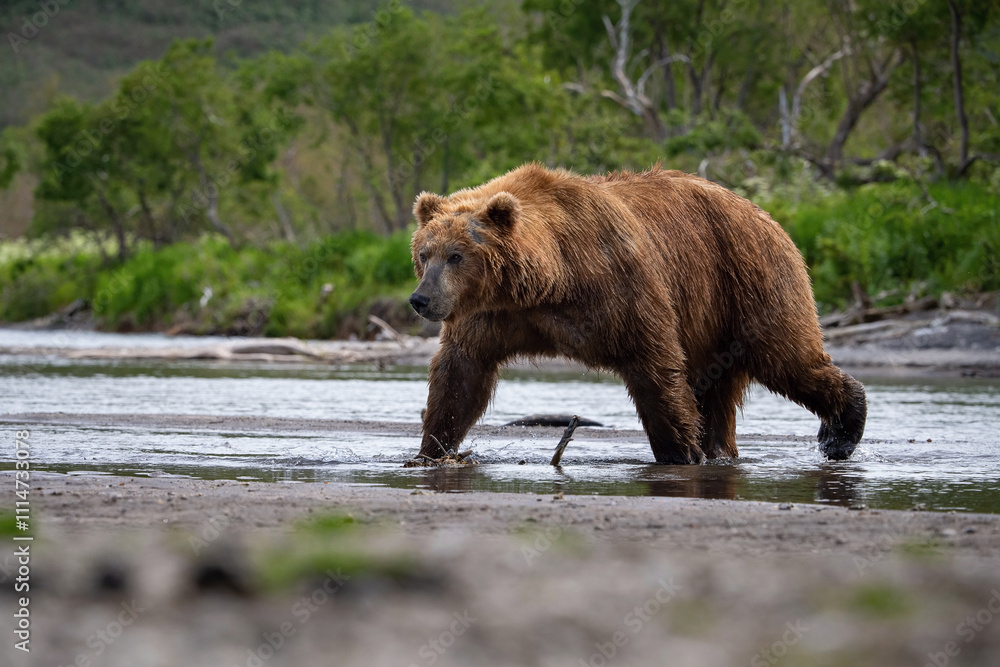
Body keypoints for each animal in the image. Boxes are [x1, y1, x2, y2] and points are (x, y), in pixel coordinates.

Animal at [408, 163, 866, 464]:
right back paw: (722, 451)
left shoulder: (620, 287)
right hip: (713, 319)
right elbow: (462, 374)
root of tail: (763, 212)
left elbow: (654, 366)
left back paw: (840, 433)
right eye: (424, 253)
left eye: (456, 255)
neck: (550, 282)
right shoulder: (492, 315)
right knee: (718, 387)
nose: (420, 299)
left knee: (788, 358)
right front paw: (432, 449)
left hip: (749, 279)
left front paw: (680, 452)